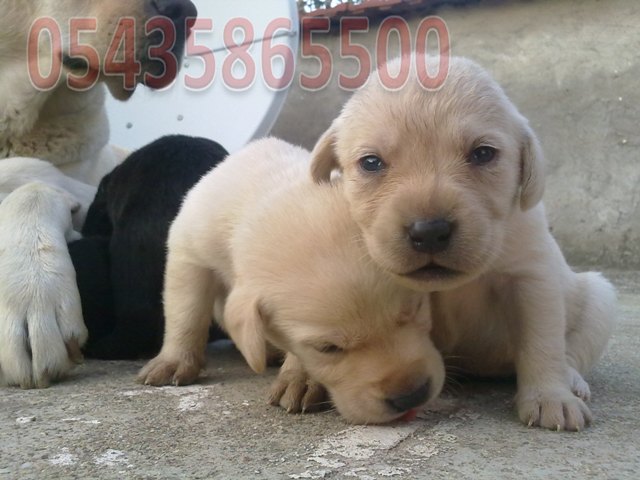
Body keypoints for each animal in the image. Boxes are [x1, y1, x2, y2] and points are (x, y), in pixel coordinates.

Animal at [138, 138, 444, 424]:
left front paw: (300, 378)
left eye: (415, 309)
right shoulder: (189, 251)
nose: (411, 396)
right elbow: (186, 313)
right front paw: (173, 361)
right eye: (327, 348)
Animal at [308, 56, 616, 432]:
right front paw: (301, 376)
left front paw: (549, 396)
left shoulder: (532, 278)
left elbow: (541, 342)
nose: (429, 231)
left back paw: (571, 381)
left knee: (572, 350)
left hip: (600, 298)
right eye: (371, 162)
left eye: (483, 154)